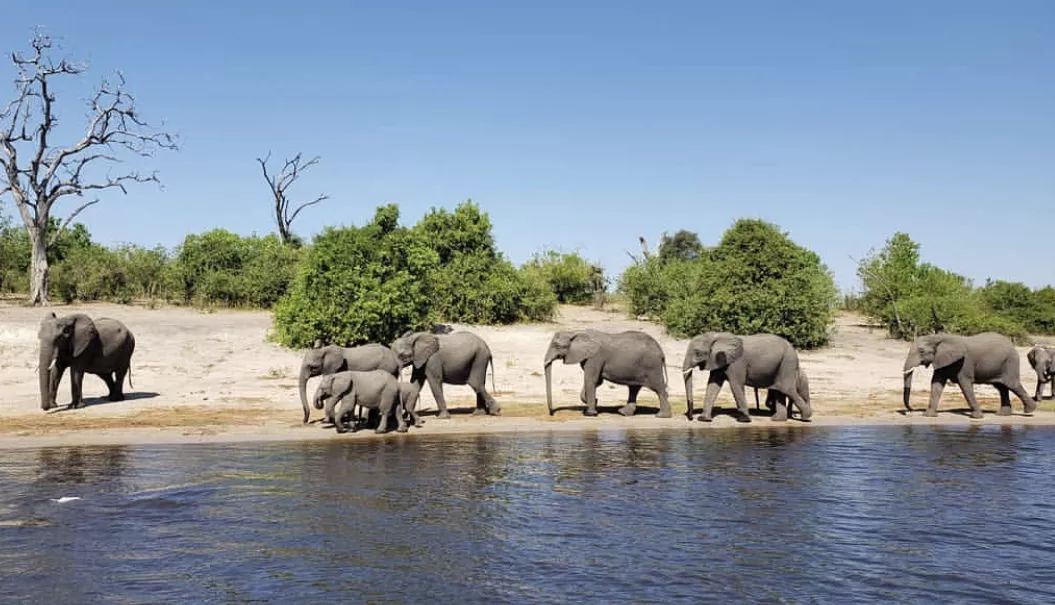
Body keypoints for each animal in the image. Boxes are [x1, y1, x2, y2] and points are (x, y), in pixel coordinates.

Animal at [540, 327, 670, 418]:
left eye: (557, 346)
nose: (551, 413)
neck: (577, 332)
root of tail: (662, 351)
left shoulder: (595, 357)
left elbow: (590, 379)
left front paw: (590, 413)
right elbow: (596, 381)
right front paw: (593, 402)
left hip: (652, 366)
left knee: (659, 388)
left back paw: (662, 416)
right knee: (634, 388)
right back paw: (623, 413)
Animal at [679, 329, 810, 424]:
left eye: (697, 353)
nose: (690, 418)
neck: (717, 336)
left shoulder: (736, 363)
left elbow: (735, 385)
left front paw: (744, 420)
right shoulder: (719, 360)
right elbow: (713, 385)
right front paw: (704, 419)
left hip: (788, 362)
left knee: (786, 389)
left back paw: (805, 418)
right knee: (780, 390)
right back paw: (777, 419)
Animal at [898, 333, 1038, 418]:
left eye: (921, 351)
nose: (909, 411)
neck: (939, 337)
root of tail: (1012, 345)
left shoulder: (965, 363)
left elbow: (965, 384)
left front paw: (977, 417)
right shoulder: (942, 360)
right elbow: (936, 384)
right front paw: (929, 415)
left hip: (1010, 362)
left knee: (1012, 384)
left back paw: (1029, 411)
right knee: (1001, 387)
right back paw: (1002, 414)